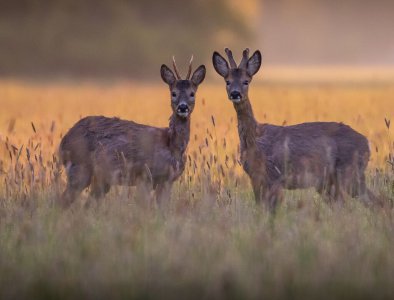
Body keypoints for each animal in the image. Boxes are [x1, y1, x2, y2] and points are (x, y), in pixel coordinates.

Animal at [60, 55, 206, 206]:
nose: (183, 107)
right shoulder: (144, 175)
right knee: (62, 200)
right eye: (173, 93)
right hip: (79, 167)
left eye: (192, 93)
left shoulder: (168, 180)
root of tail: (64, 139)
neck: (172, 146)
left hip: (100, 178)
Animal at [212, 47, 376, 211]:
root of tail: (367, 143)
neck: (256, 140)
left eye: (246, 81)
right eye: (227, 81)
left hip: (349, 172)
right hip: (328, 182)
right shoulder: (256, 177)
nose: (235, 93)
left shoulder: (275, 176)